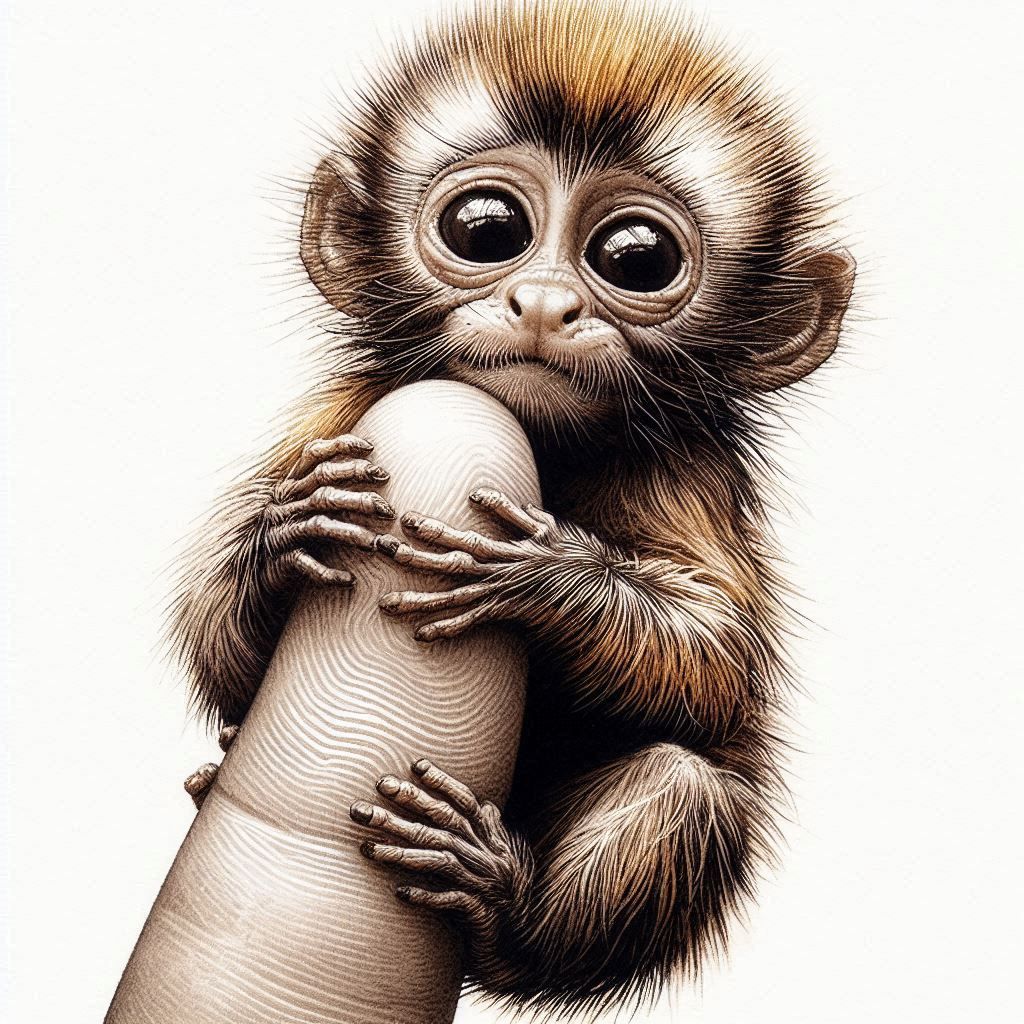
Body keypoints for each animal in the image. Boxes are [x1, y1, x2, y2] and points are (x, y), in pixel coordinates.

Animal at [169, 1, 854, 1015]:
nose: (543, 302)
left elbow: (718, 660)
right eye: (487, 230)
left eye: (636, 258)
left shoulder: (686, 470)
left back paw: (501, 909)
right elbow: (222, 655)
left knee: (683, 786)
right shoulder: (349, 410)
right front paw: (284, 534)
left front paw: (540, 577)